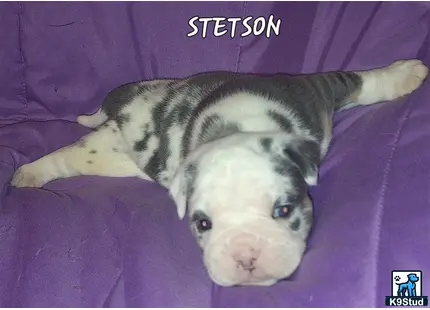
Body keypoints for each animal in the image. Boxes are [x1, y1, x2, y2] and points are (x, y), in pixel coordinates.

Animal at [11, 59, 428, 286]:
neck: (239, 128)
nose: (245, 257)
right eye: (202, 224)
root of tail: (123, 100)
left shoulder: (312, 91)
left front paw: (402, 76)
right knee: (67, 156)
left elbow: (358, 81)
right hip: (103, 148)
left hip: (119, 159)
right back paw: (28, 173)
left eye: (284, 210)